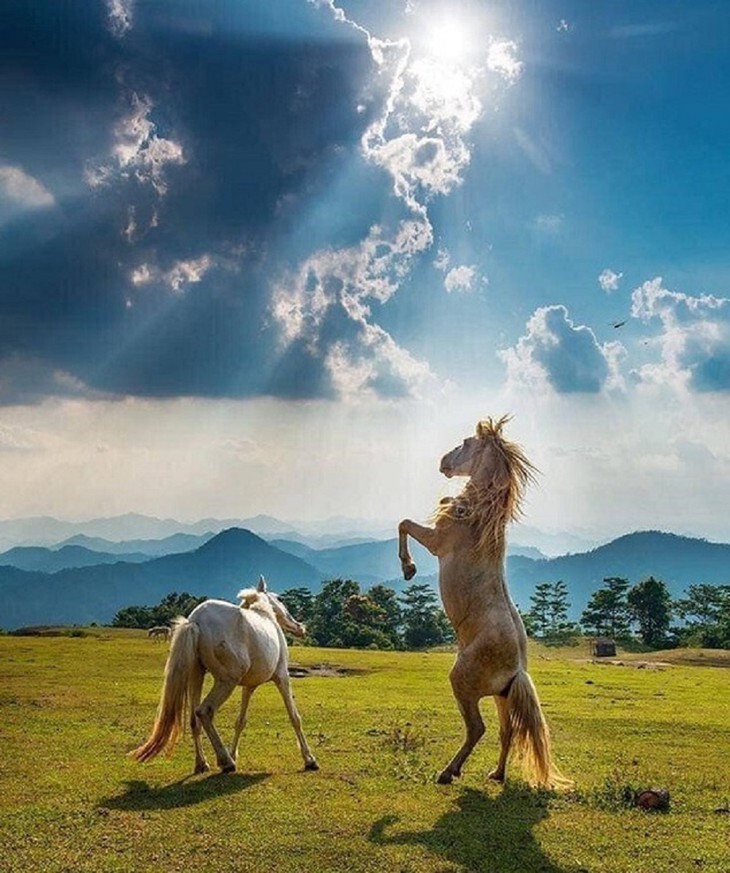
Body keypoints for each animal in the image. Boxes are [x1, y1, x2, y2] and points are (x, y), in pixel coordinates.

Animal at [132, 576, 318, 772]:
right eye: (280, 599)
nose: (300, 627)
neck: (265, 613)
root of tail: (195, 621)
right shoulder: (282, 676)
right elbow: (294, 717)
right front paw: (309, 759)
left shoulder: (249, 686)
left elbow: (240, 721)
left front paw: (234, 753)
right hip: (226, 681)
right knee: (204, 712)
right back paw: (225, 761)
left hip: (197, 675)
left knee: (193, 720)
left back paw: (202, 763)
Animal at [398, 416, 568, 792]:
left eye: (464, 442)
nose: (443, 463)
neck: (476, 513)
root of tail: (516, 670)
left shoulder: (435, 542)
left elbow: (403, 523)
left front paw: (408, 568)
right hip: (502, 697)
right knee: (508, 731)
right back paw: (497, 774)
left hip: (463, 684)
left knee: (478, 728)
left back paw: (448, 772)